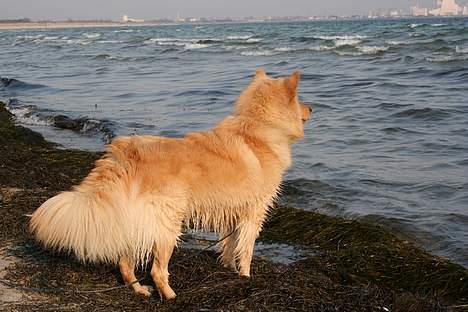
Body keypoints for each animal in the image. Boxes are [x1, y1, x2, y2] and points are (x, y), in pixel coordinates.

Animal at [31, 69, 312, 298]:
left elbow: (230, 245)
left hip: (135, 220)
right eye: (299, 99)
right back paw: (170, 296)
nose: (312, 109)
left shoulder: (234, 212)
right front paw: (245, 277)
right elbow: (246, 250)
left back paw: (139, 290)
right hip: (167, 225)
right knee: (157, 270)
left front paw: (228, 267)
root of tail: (127, 154)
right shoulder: (254, 213)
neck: (257, 127)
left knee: (125, 263)